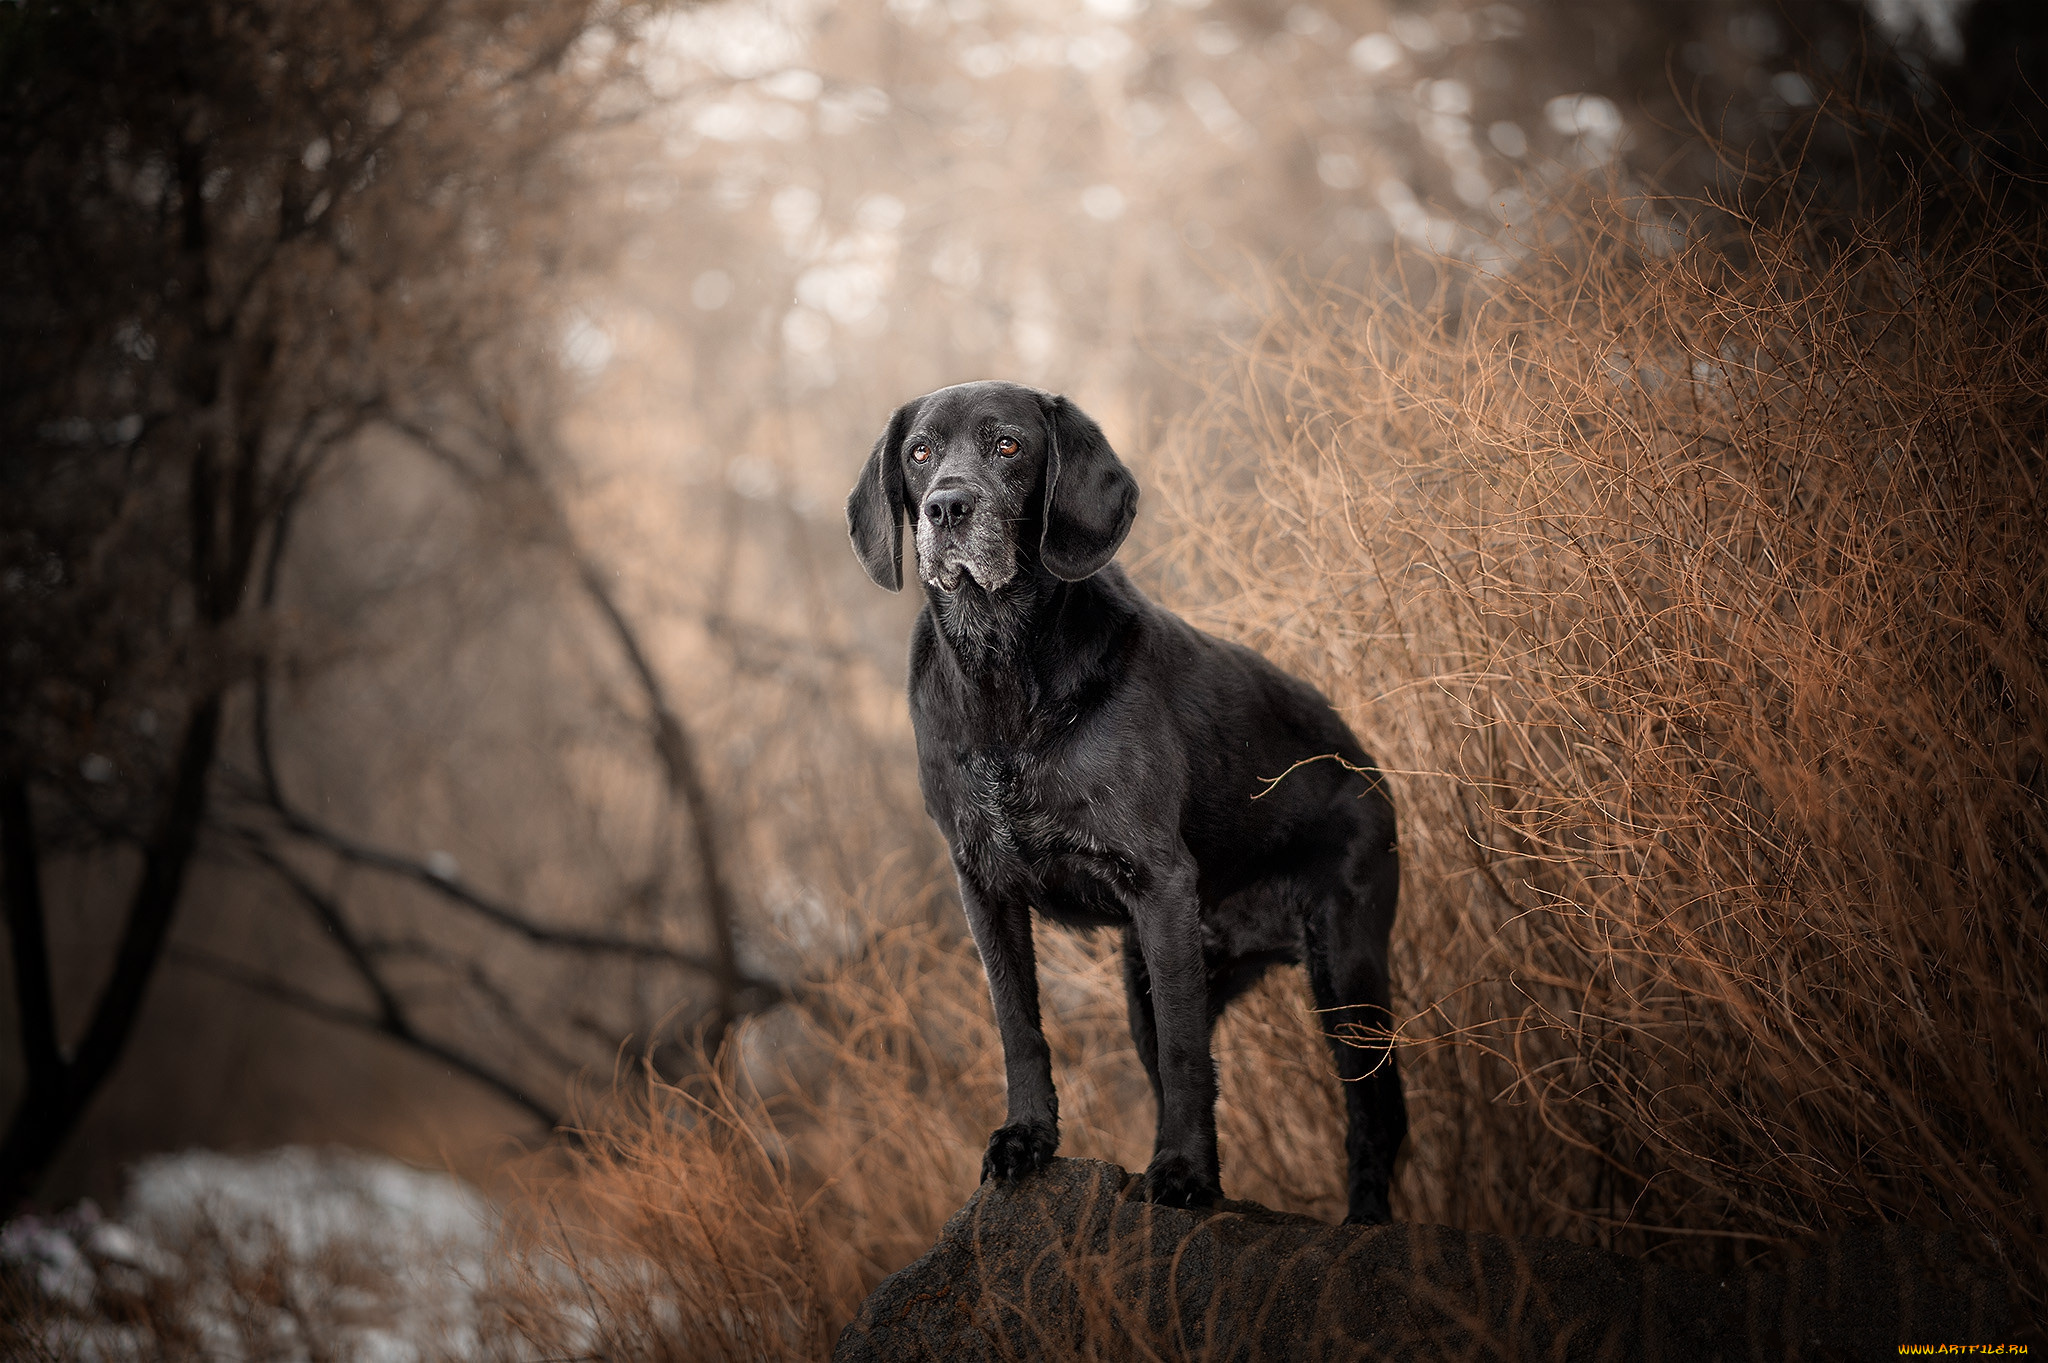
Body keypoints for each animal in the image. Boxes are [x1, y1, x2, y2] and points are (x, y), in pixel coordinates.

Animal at [847, 376, 1409, 1211]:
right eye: (919, 453)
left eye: (1007, 444)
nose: (947, 506)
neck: (1001, 669)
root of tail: (1370, 767)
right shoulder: (984, 886)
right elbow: (1019, 1024)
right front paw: (1027, 1137)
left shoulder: (1160, 886)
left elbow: (1184, 1059)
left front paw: (1182, 1174)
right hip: (1156, 973)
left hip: (1343, 972)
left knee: (1375, 1119)